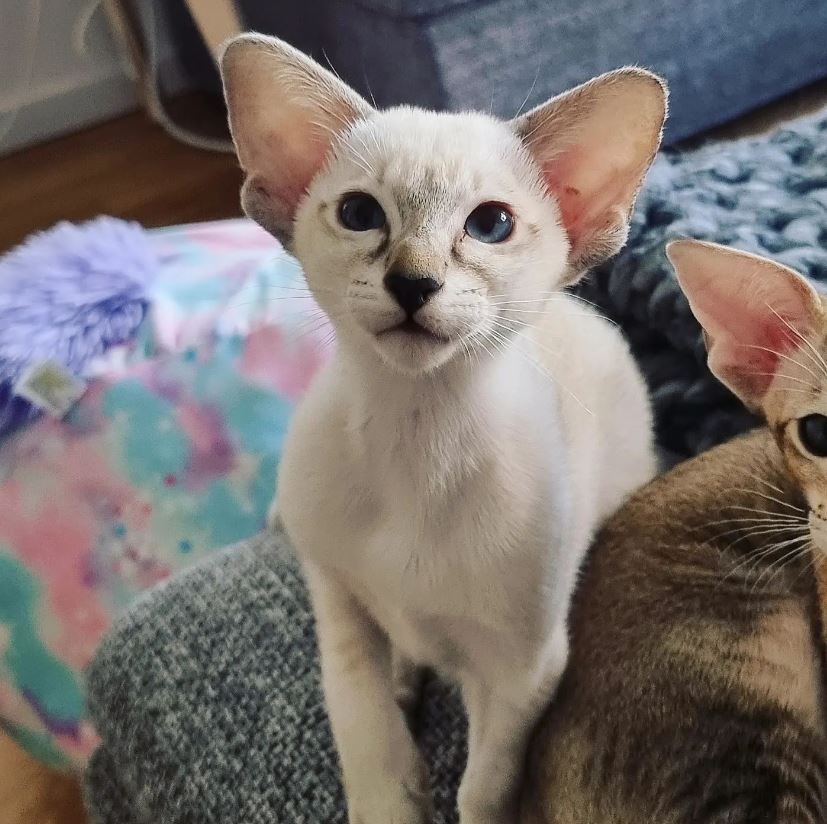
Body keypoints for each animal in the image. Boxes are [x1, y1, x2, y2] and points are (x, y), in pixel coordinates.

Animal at [220, 33, 665, 824]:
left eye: (490, 225)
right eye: (360, 213)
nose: (412, 282)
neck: (413, 437)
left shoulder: (523, 672)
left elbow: (483, 791)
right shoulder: (337, 609)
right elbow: (366, 741)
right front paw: (392, 786)